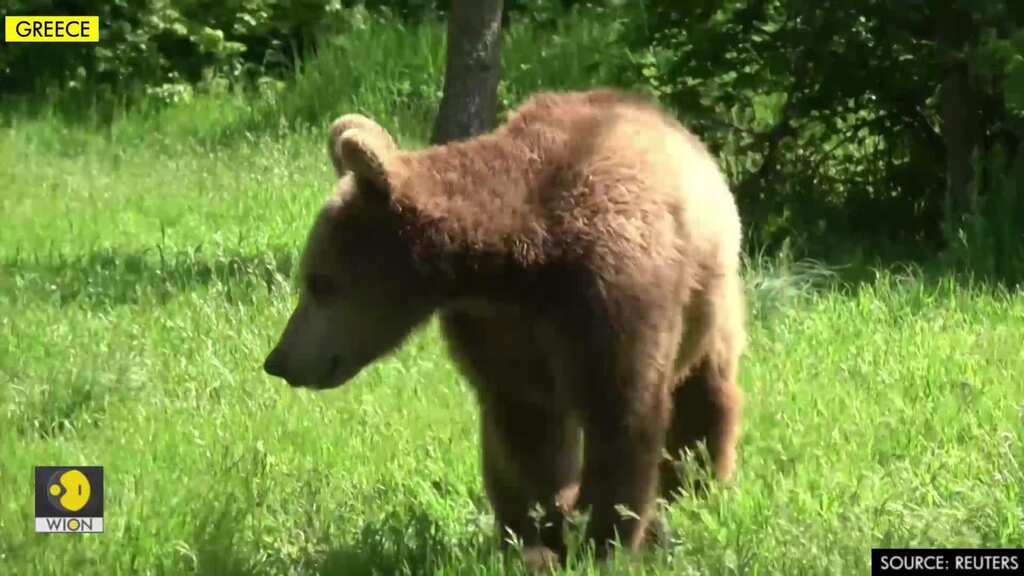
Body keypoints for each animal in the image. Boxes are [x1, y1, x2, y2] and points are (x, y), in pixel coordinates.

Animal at [263, 89, 746, 569]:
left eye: (320, 282)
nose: (278, 360)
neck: (517, 265)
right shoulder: (498, 328)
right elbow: (528, 428)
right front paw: (544, 538)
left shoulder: (612, 293)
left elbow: (622, 410)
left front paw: (604, 539)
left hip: (709, 292)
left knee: (705, 391)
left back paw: (693, 486)